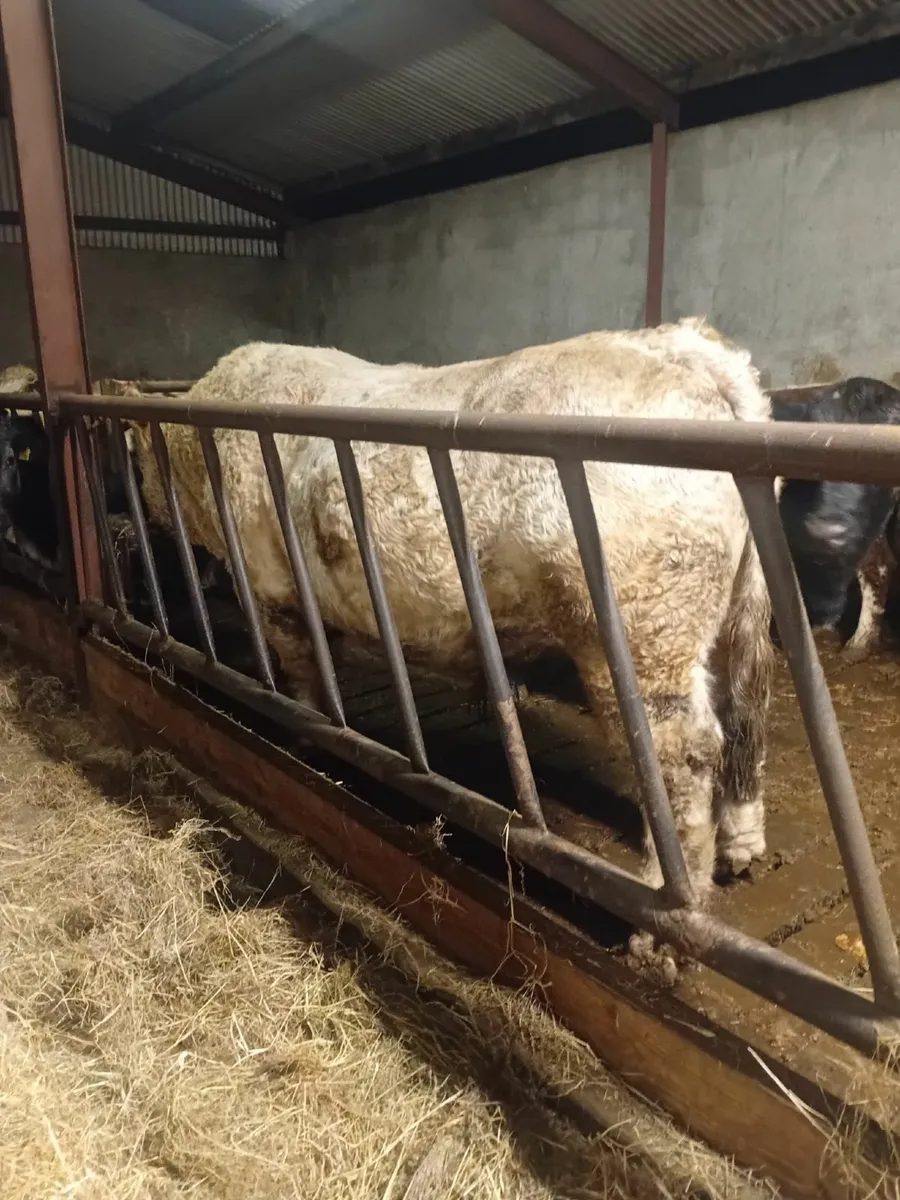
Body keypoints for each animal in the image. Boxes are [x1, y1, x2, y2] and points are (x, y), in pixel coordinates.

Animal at [123, 317, 776, 960]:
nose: (144, 517)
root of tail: (680, 344)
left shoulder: (270, 584)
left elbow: (302, 666)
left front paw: (303, 733)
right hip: (731, 614)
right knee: (743, 714)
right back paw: (740, 846)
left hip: (641, 627)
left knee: (681, 756)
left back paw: (660, 931)